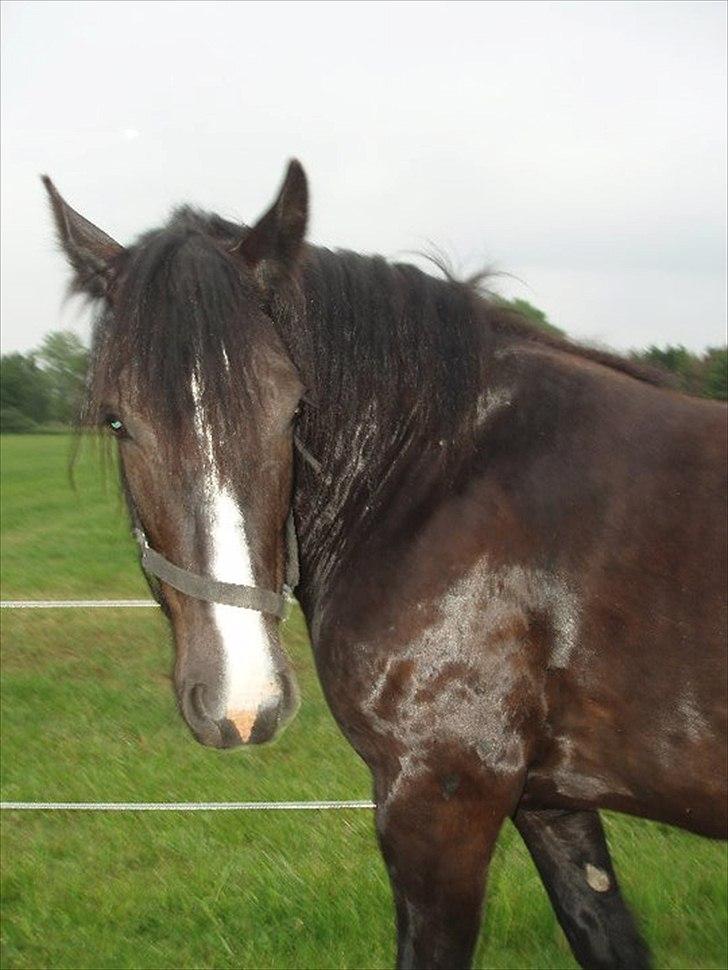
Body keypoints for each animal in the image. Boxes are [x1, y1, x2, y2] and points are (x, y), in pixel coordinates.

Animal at [43, 161, 727, 970]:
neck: (436, 477)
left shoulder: (440, 797)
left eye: (293, 411)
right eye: (117, 420)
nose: (243, 702)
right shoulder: (551, 801)